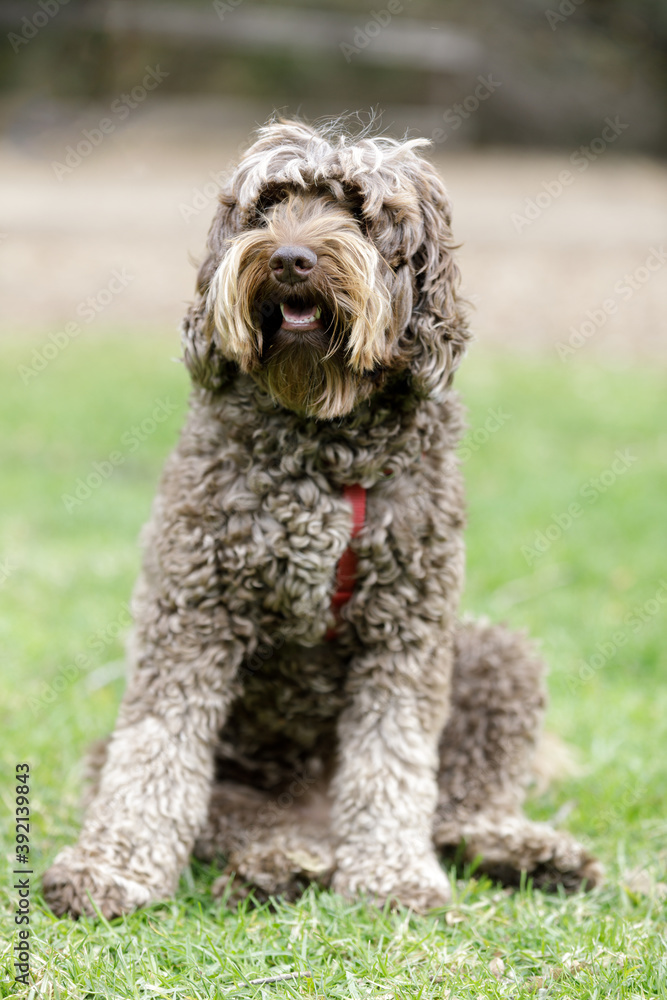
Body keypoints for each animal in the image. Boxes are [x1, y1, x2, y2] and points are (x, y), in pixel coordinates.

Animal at [44, 115, 604, 916]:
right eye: (269, 204)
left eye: (359, 211)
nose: (289, 259)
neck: (324, 438)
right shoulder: (191, 610)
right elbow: (155, 752)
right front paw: (111, 867)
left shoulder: (408, 628)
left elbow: (393, 758)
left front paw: (392, 875)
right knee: (243, 821)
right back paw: (279, 862)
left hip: (496, 657)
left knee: (456, 812)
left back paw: (522, 850)